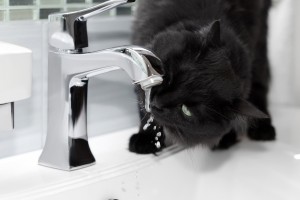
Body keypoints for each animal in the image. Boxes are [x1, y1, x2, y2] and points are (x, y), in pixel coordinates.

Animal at [128, 0, 274, 155]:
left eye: (186, 110)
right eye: (171, 78)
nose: (156, 103)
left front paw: (226, 138)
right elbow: (145, 113)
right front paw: (146, 140)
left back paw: (264, 129)